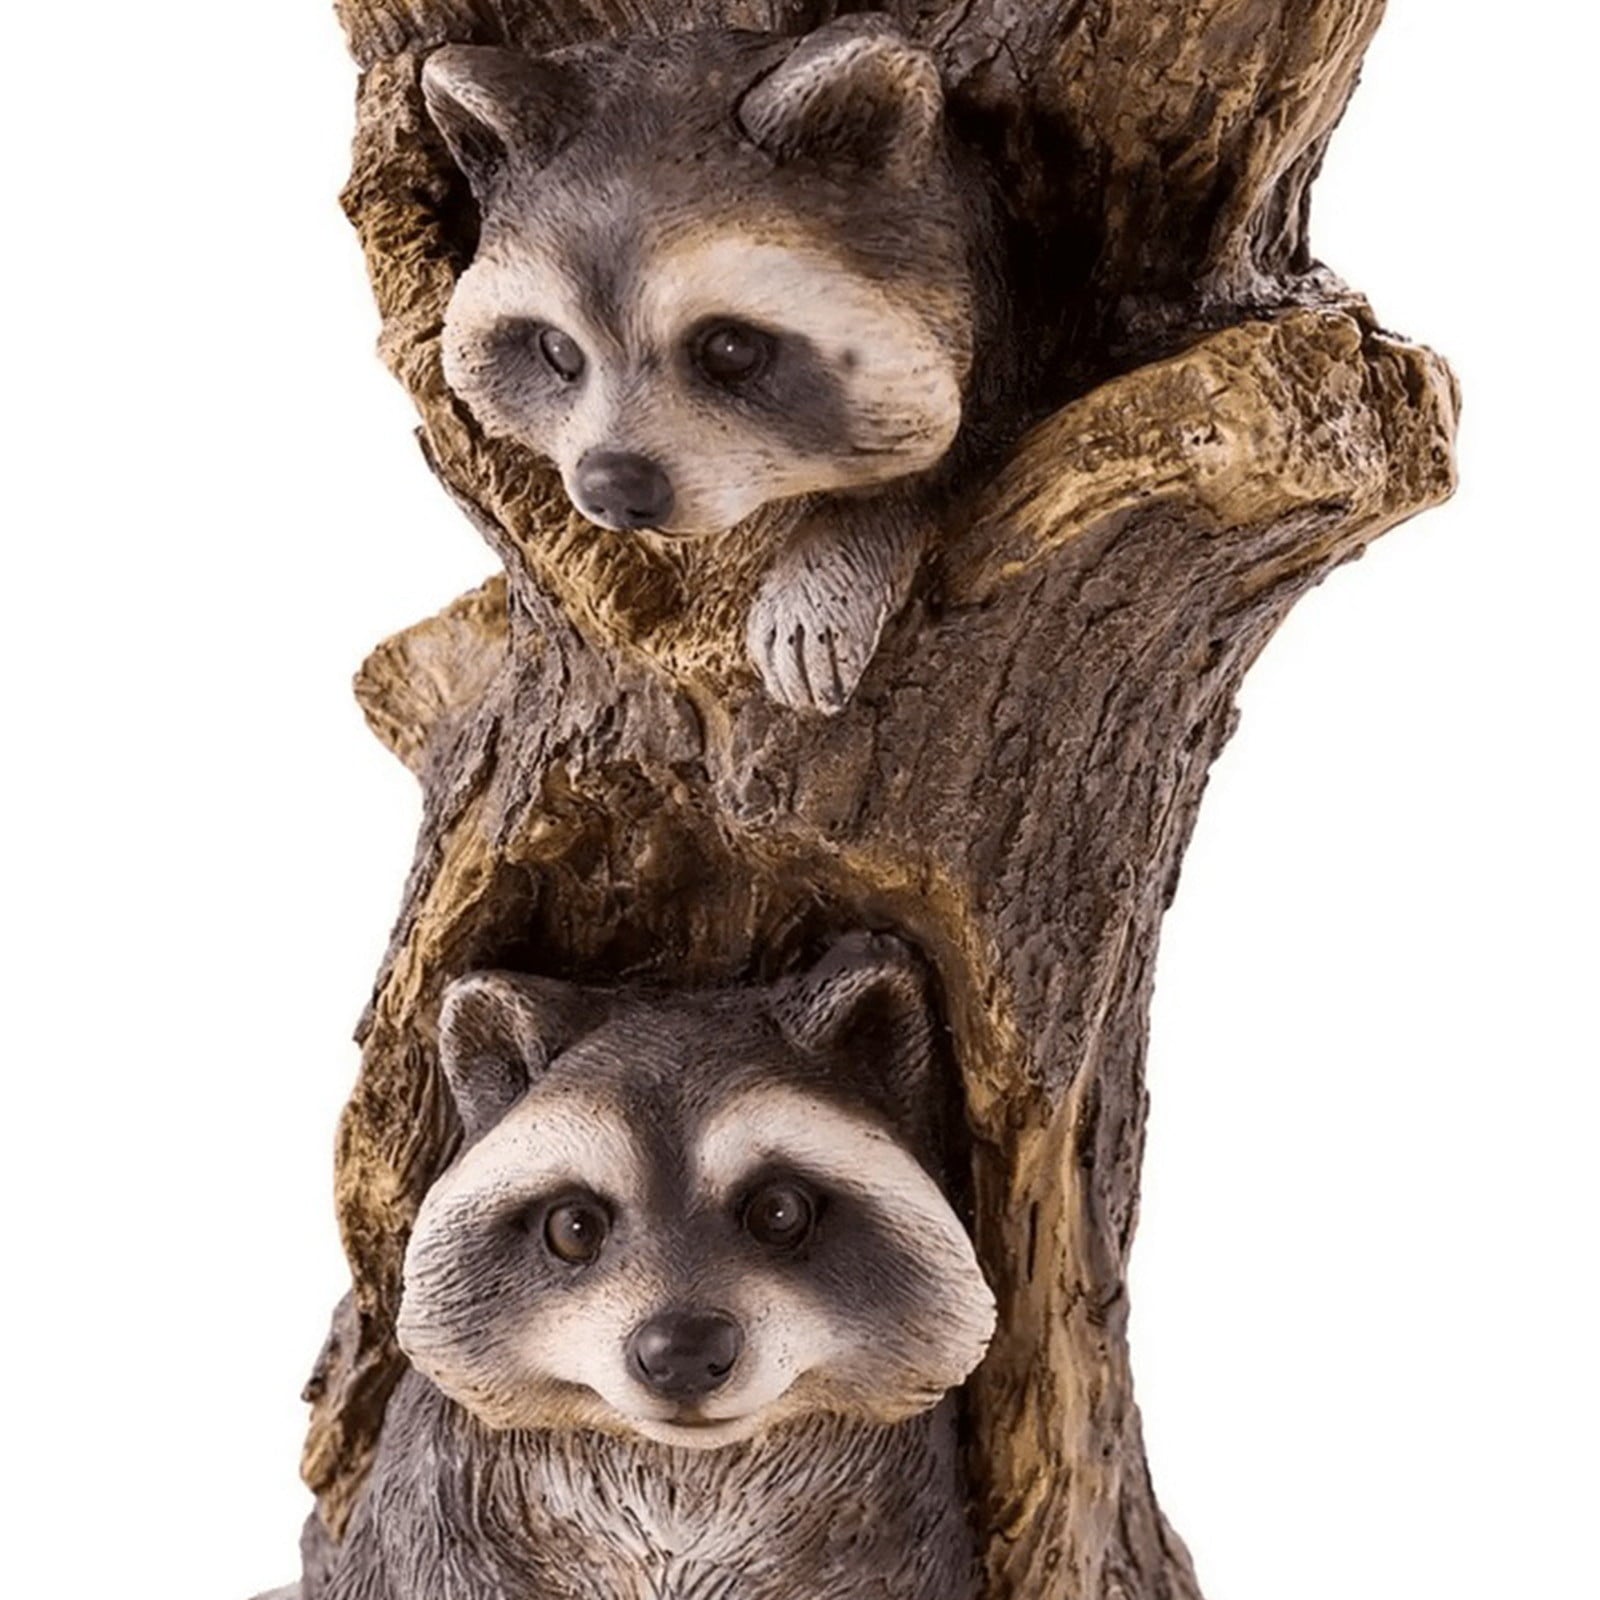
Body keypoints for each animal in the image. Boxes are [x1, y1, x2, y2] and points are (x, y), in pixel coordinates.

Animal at [301, 934, 995, 1600]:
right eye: (574, 1227)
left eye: (778, 1212)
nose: (683, 1351)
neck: (682, 1464)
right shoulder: (443, 1500)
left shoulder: (896, 1510)